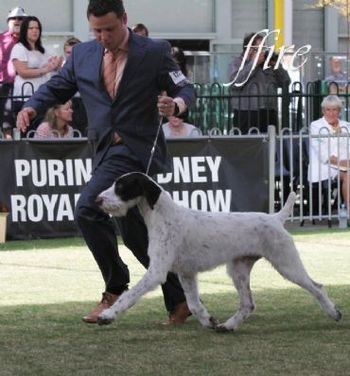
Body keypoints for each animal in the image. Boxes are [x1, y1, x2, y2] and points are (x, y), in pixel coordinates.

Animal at [95, 172, 342, 330]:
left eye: (121, 187)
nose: (98, 200)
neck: (164, 216)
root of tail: (275, 219)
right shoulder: (186, 273)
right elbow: (194, 304)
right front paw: (208, 321)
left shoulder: (157, 271)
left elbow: (129, 296)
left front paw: (107, 315)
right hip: (238, 270)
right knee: (248, 304)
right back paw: (228, 326)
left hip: (287, 264)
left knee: (317, 288)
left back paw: (334, 313)